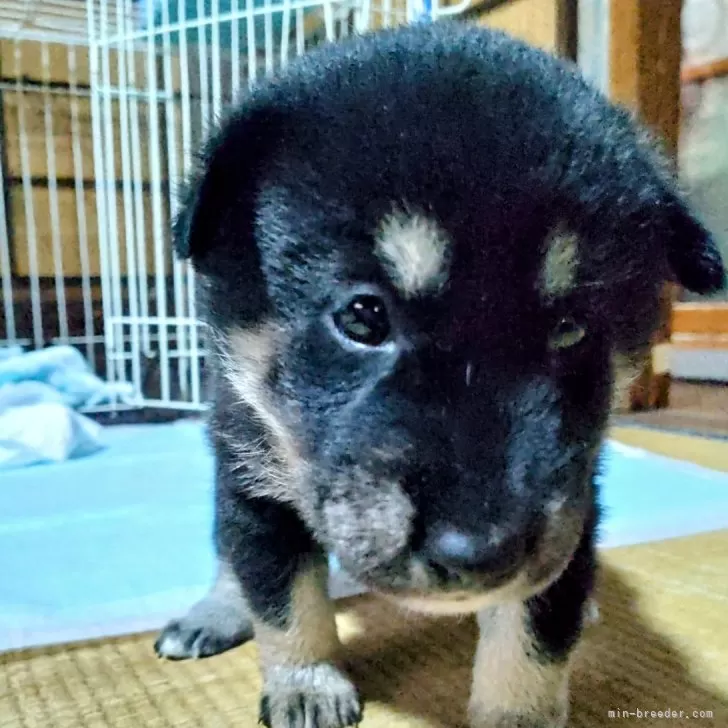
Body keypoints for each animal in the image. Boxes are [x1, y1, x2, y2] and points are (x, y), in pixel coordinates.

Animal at [156, 19, 724, 728]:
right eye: (362, 316)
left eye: (571, 329)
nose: (475, 551)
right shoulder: (252, 467)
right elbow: (283, 594)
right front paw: (307, 683)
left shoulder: (575, 491)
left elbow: (532, 632)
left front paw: (517, 710)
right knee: (233, 552)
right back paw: (216, 610)